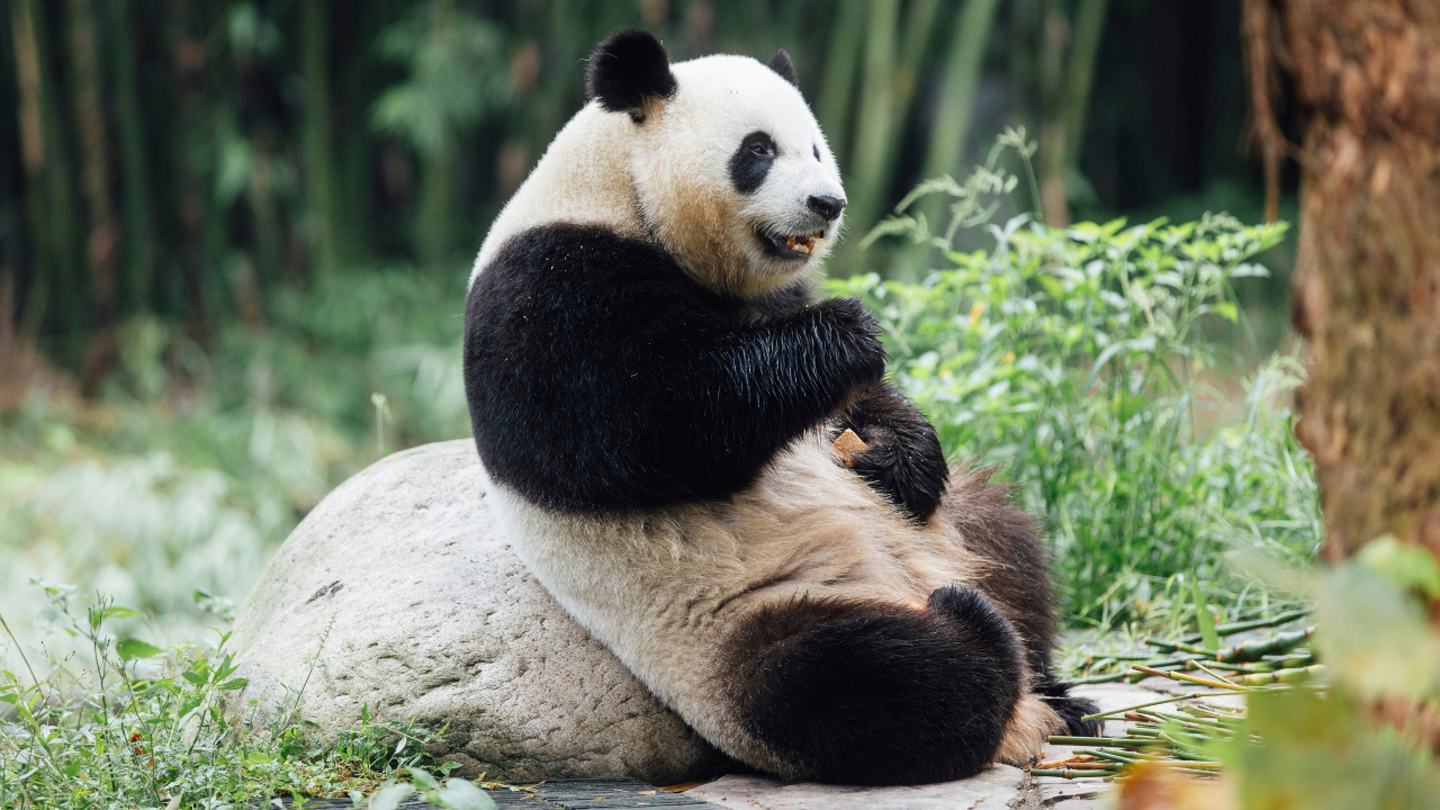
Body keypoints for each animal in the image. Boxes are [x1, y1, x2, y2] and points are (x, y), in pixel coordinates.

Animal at [466, 31, 1094, 784]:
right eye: (758, 150)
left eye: (818, 148)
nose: (828, 203)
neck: (621, 191)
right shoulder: (547, 289)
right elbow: (649, 425)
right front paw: (848, 334)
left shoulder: (773, 291)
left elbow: (861, 408)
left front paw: (901, 454)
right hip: (734, 629)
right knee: (857, 681)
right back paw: (975, 635)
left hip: (954, 531)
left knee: (1011, 543)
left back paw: (1060, 691)